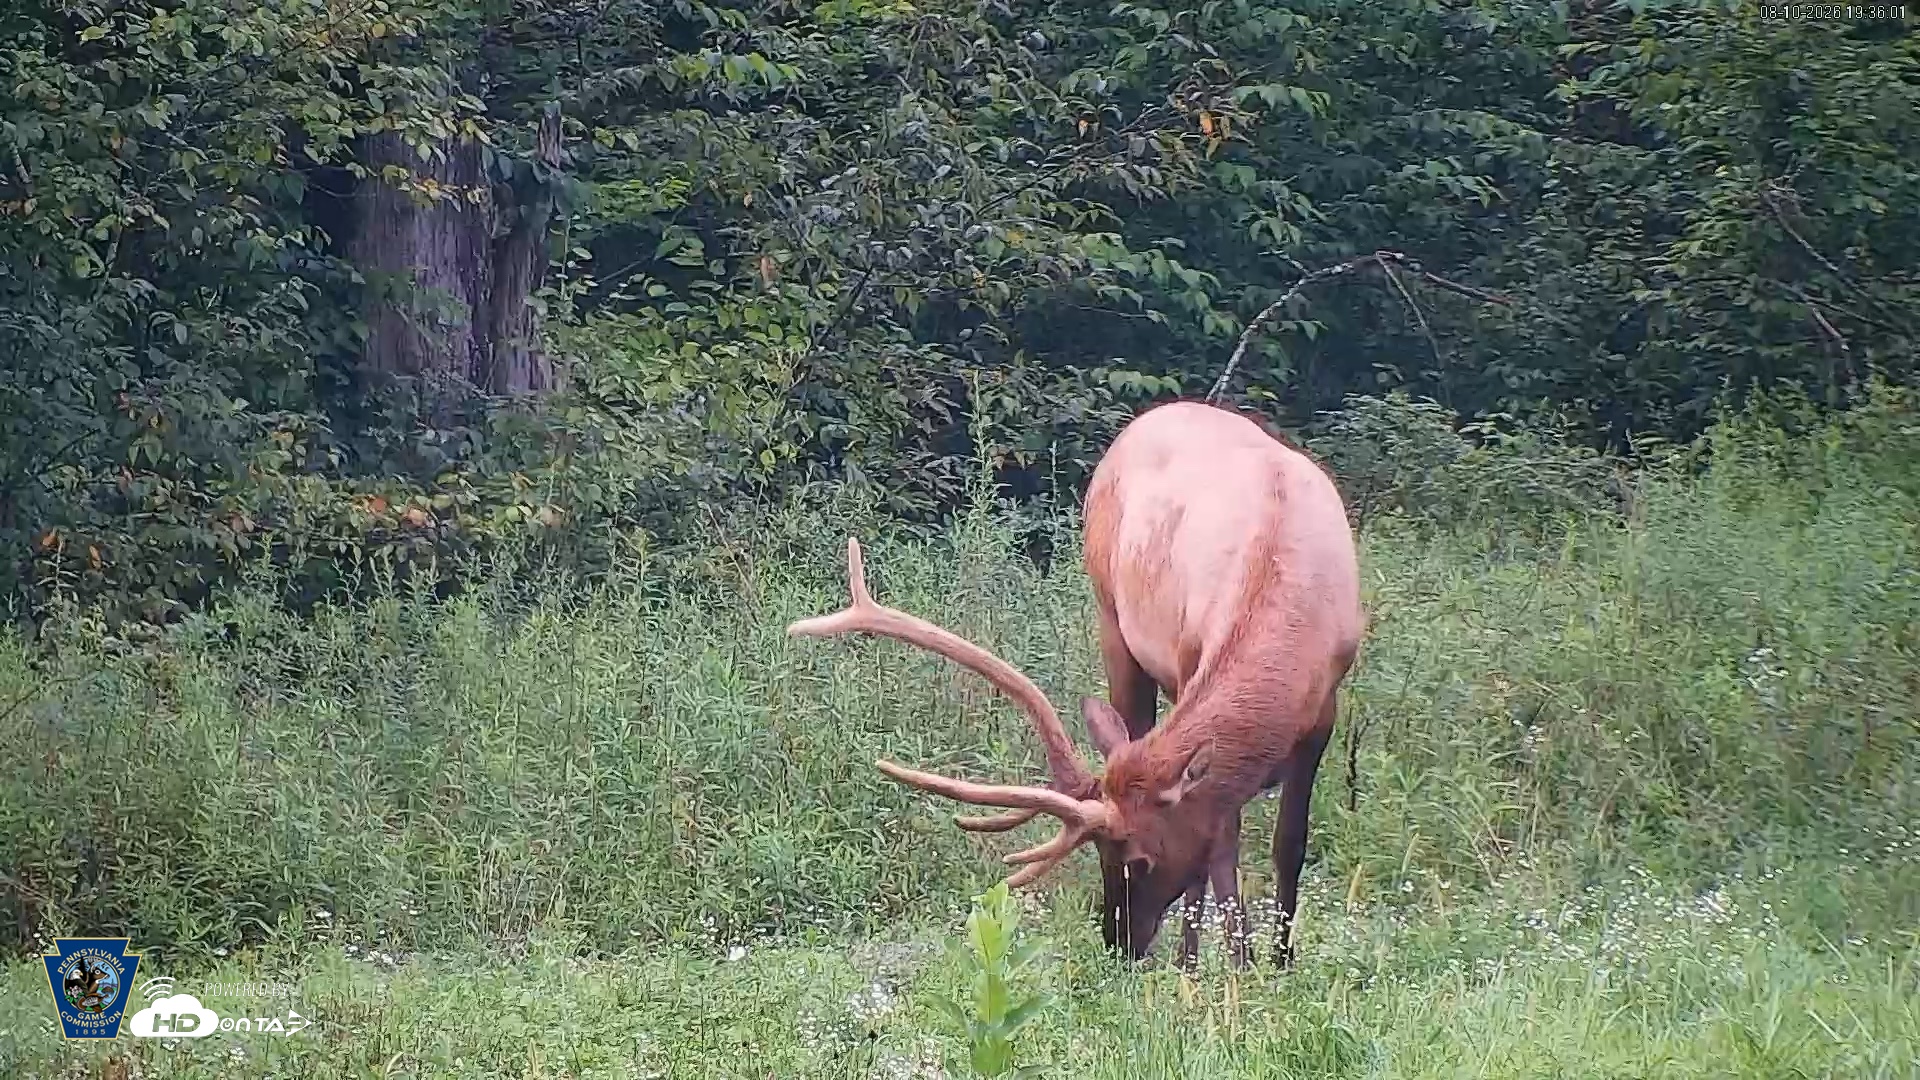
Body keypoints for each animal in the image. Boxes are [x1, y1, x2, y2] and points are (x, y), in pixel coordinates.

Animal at [787, 399, 1363, 969]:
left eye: (1140, 858)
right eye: (1101, 851)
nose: (1118, 943)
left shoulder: (1327, 706)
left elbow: (1289, 843)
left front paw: (1279, 961)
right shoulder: (1186, 661)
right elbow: (1222, 842)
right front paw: (1211, 966)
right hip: (1111, 615)